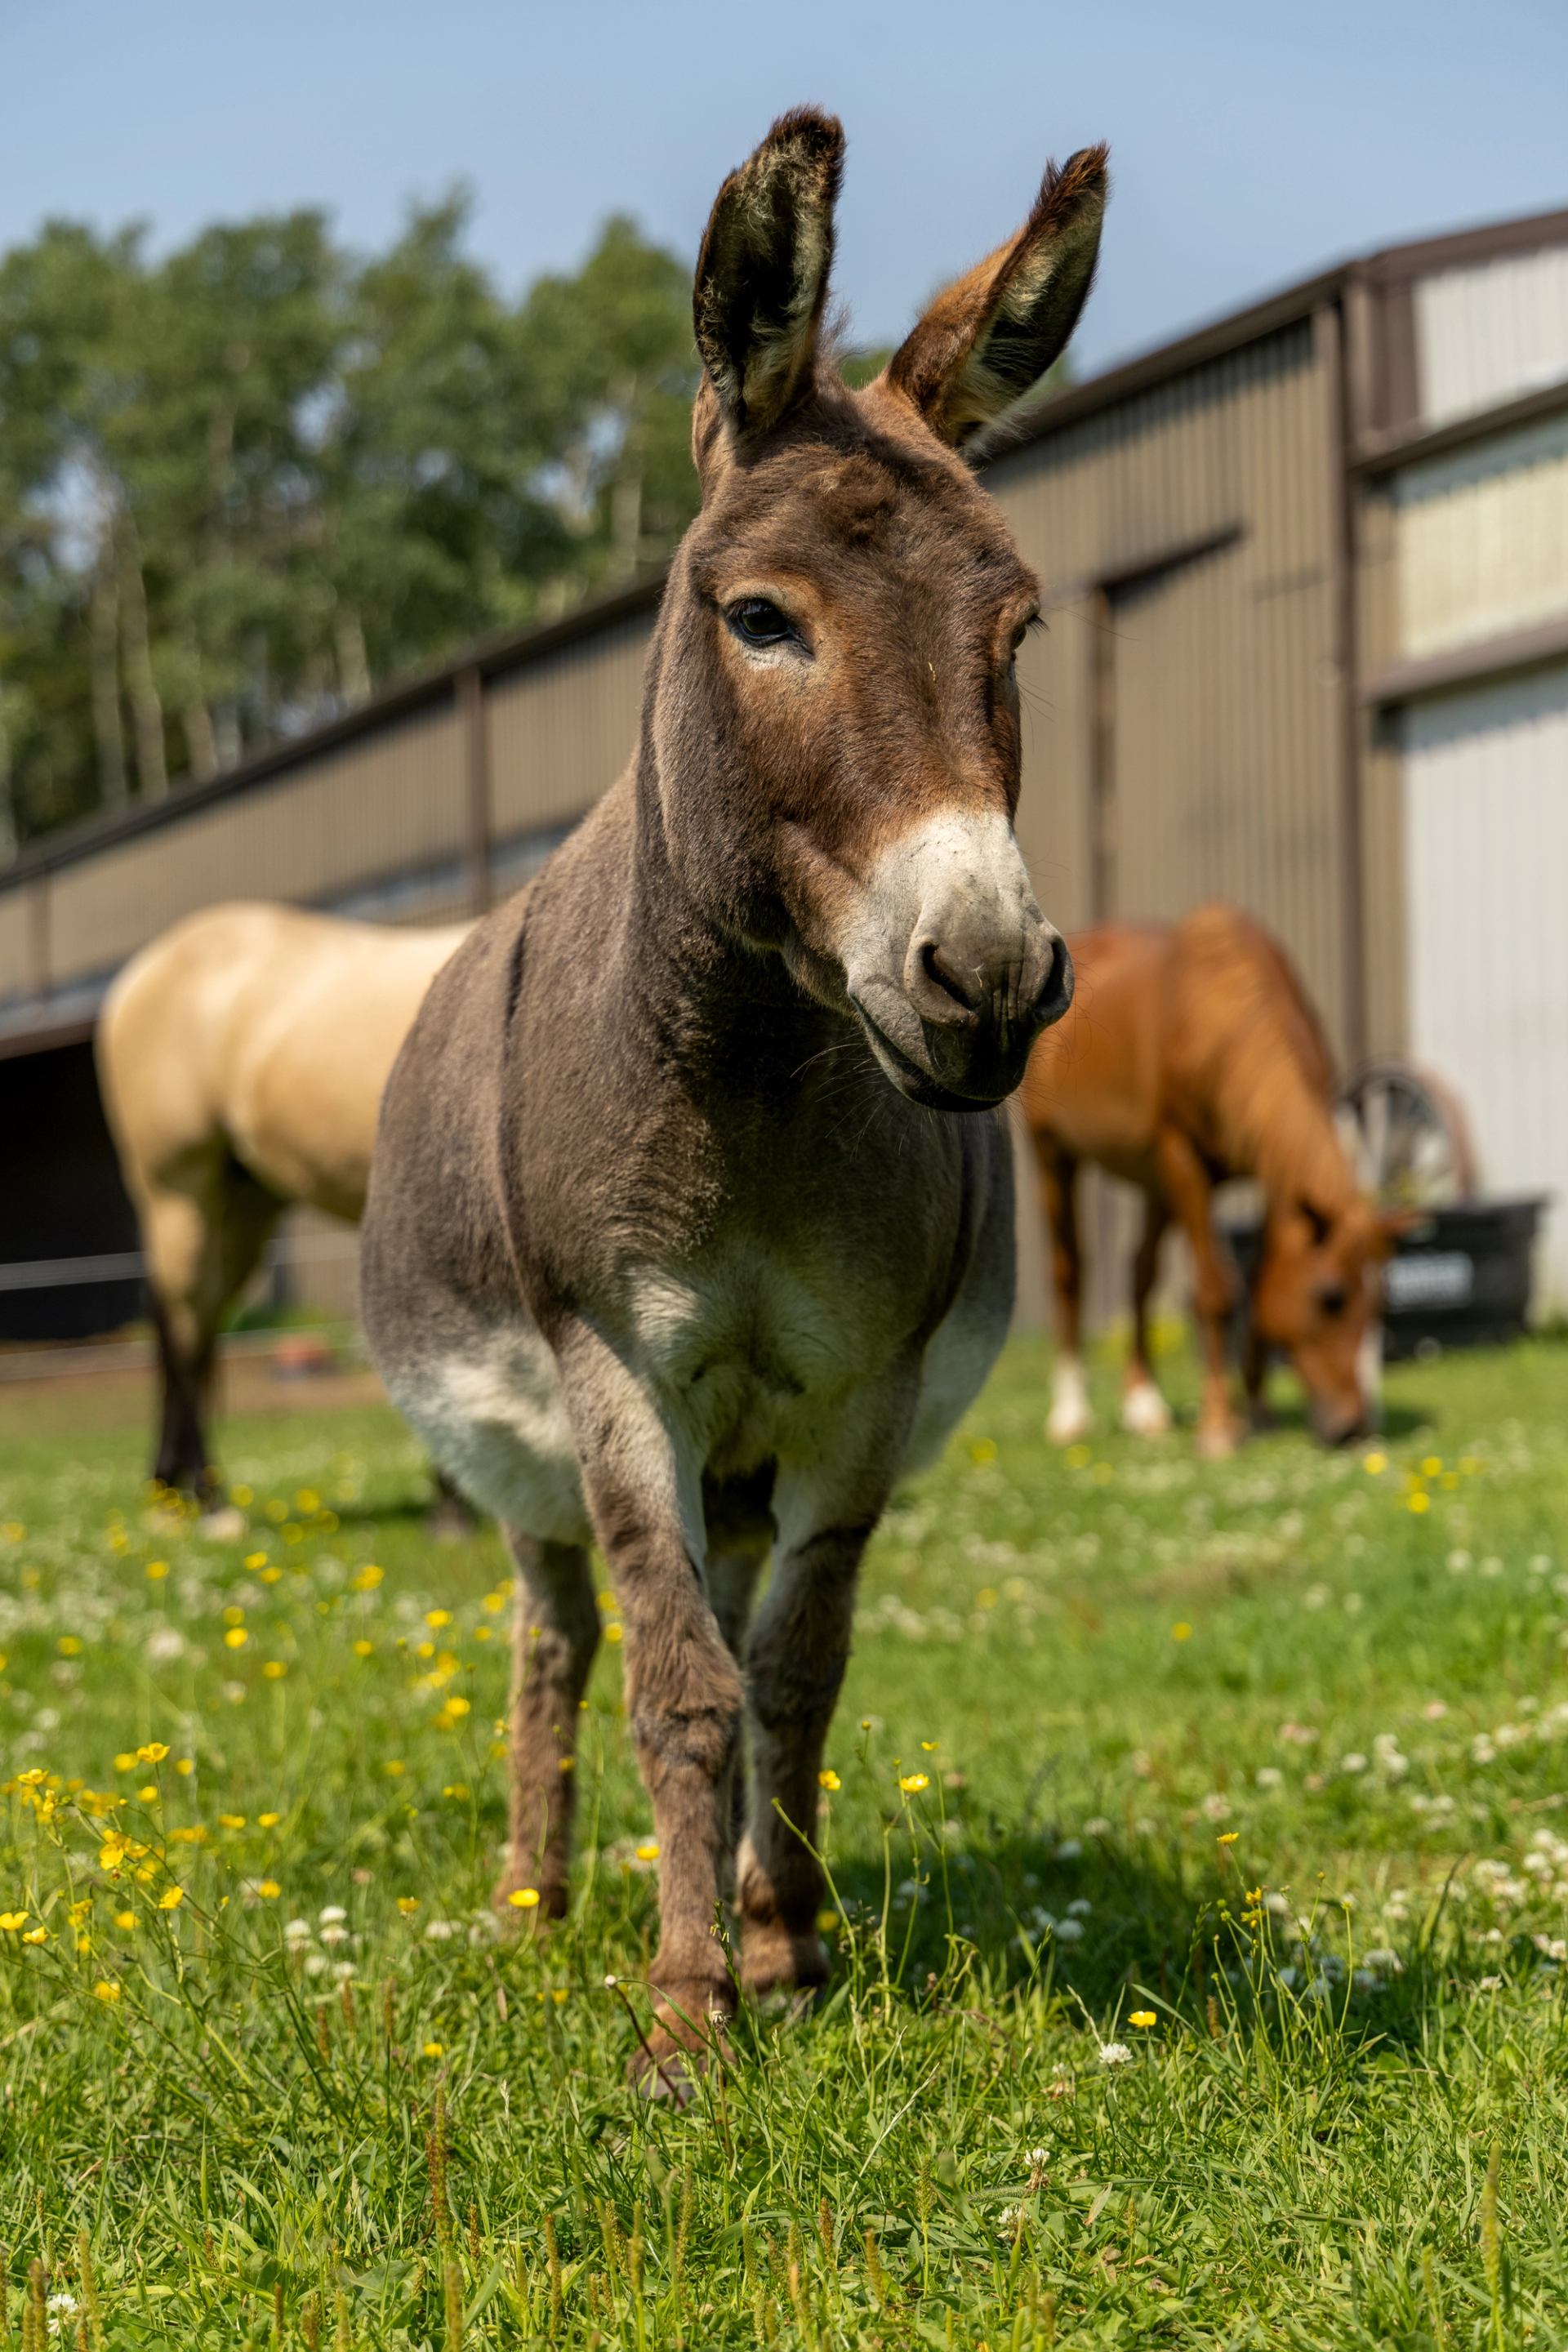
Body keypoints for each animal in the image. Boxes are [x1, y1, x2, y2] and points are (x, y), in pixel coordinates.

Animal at [96, 902, 468, 1499]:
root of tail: (136, 977)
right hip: (177, 1190)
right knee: (181, 1325)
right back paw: (208, 1495)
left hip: (243, 1208)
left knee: (198, 1321)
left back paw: (172, 1483)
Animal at [359, 109, 1107, 2090]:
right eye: (761, 621)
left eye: (1018, 634)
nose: (987, 977)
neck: (763, 1071)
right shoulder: (619, 1363)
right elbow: (681, 1686)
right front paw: (686, 2013)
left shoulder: (862, 1394)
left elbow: (794, 1674)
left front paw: (787, 1952)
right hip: (531, 1466)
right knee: (558, 1643)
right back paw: (534, 1903)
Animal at [1021, 904, 1402, 1457]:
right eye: (1330, 1298)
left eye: (1382, 1305)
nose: (1356, 1428)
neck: (1219, 1014)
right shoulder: (1184, 1161)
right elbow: (1216, 1293)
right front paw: (1221, 1424)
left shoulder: (1268, 1176)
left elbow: (1260, 1287)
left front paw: (1260, 1412)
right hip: (1054, 1154)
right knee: (1068, 1268)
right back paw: (1072, 1414)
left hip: (1153, 1179)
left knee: (1140, 1271)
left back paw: (1144, 1404)